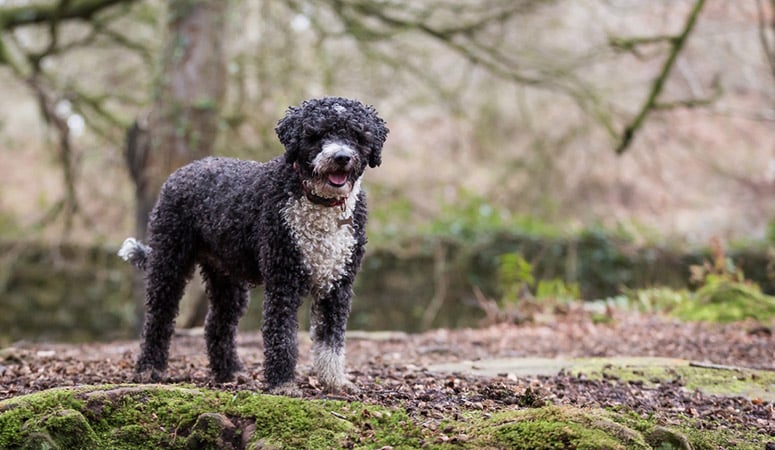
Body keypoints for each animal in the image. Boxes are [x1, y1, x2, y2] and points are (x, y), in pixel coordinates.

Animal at [117, 96, 388, 396]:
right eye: (316, 134)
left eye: (356, 135)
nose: (341, 157)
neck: (319, 202)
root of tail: (185, 169)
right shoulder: (283, 279)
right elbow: (282, 334)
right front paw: (282, 383)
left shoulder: (338, 283)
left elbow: (332, 339)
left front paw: (334, 381)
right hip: (169, 261)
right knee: (159, 317)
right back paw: (149, 368)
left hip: (227, 277)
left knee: (217, 324)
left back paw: (229, 371)